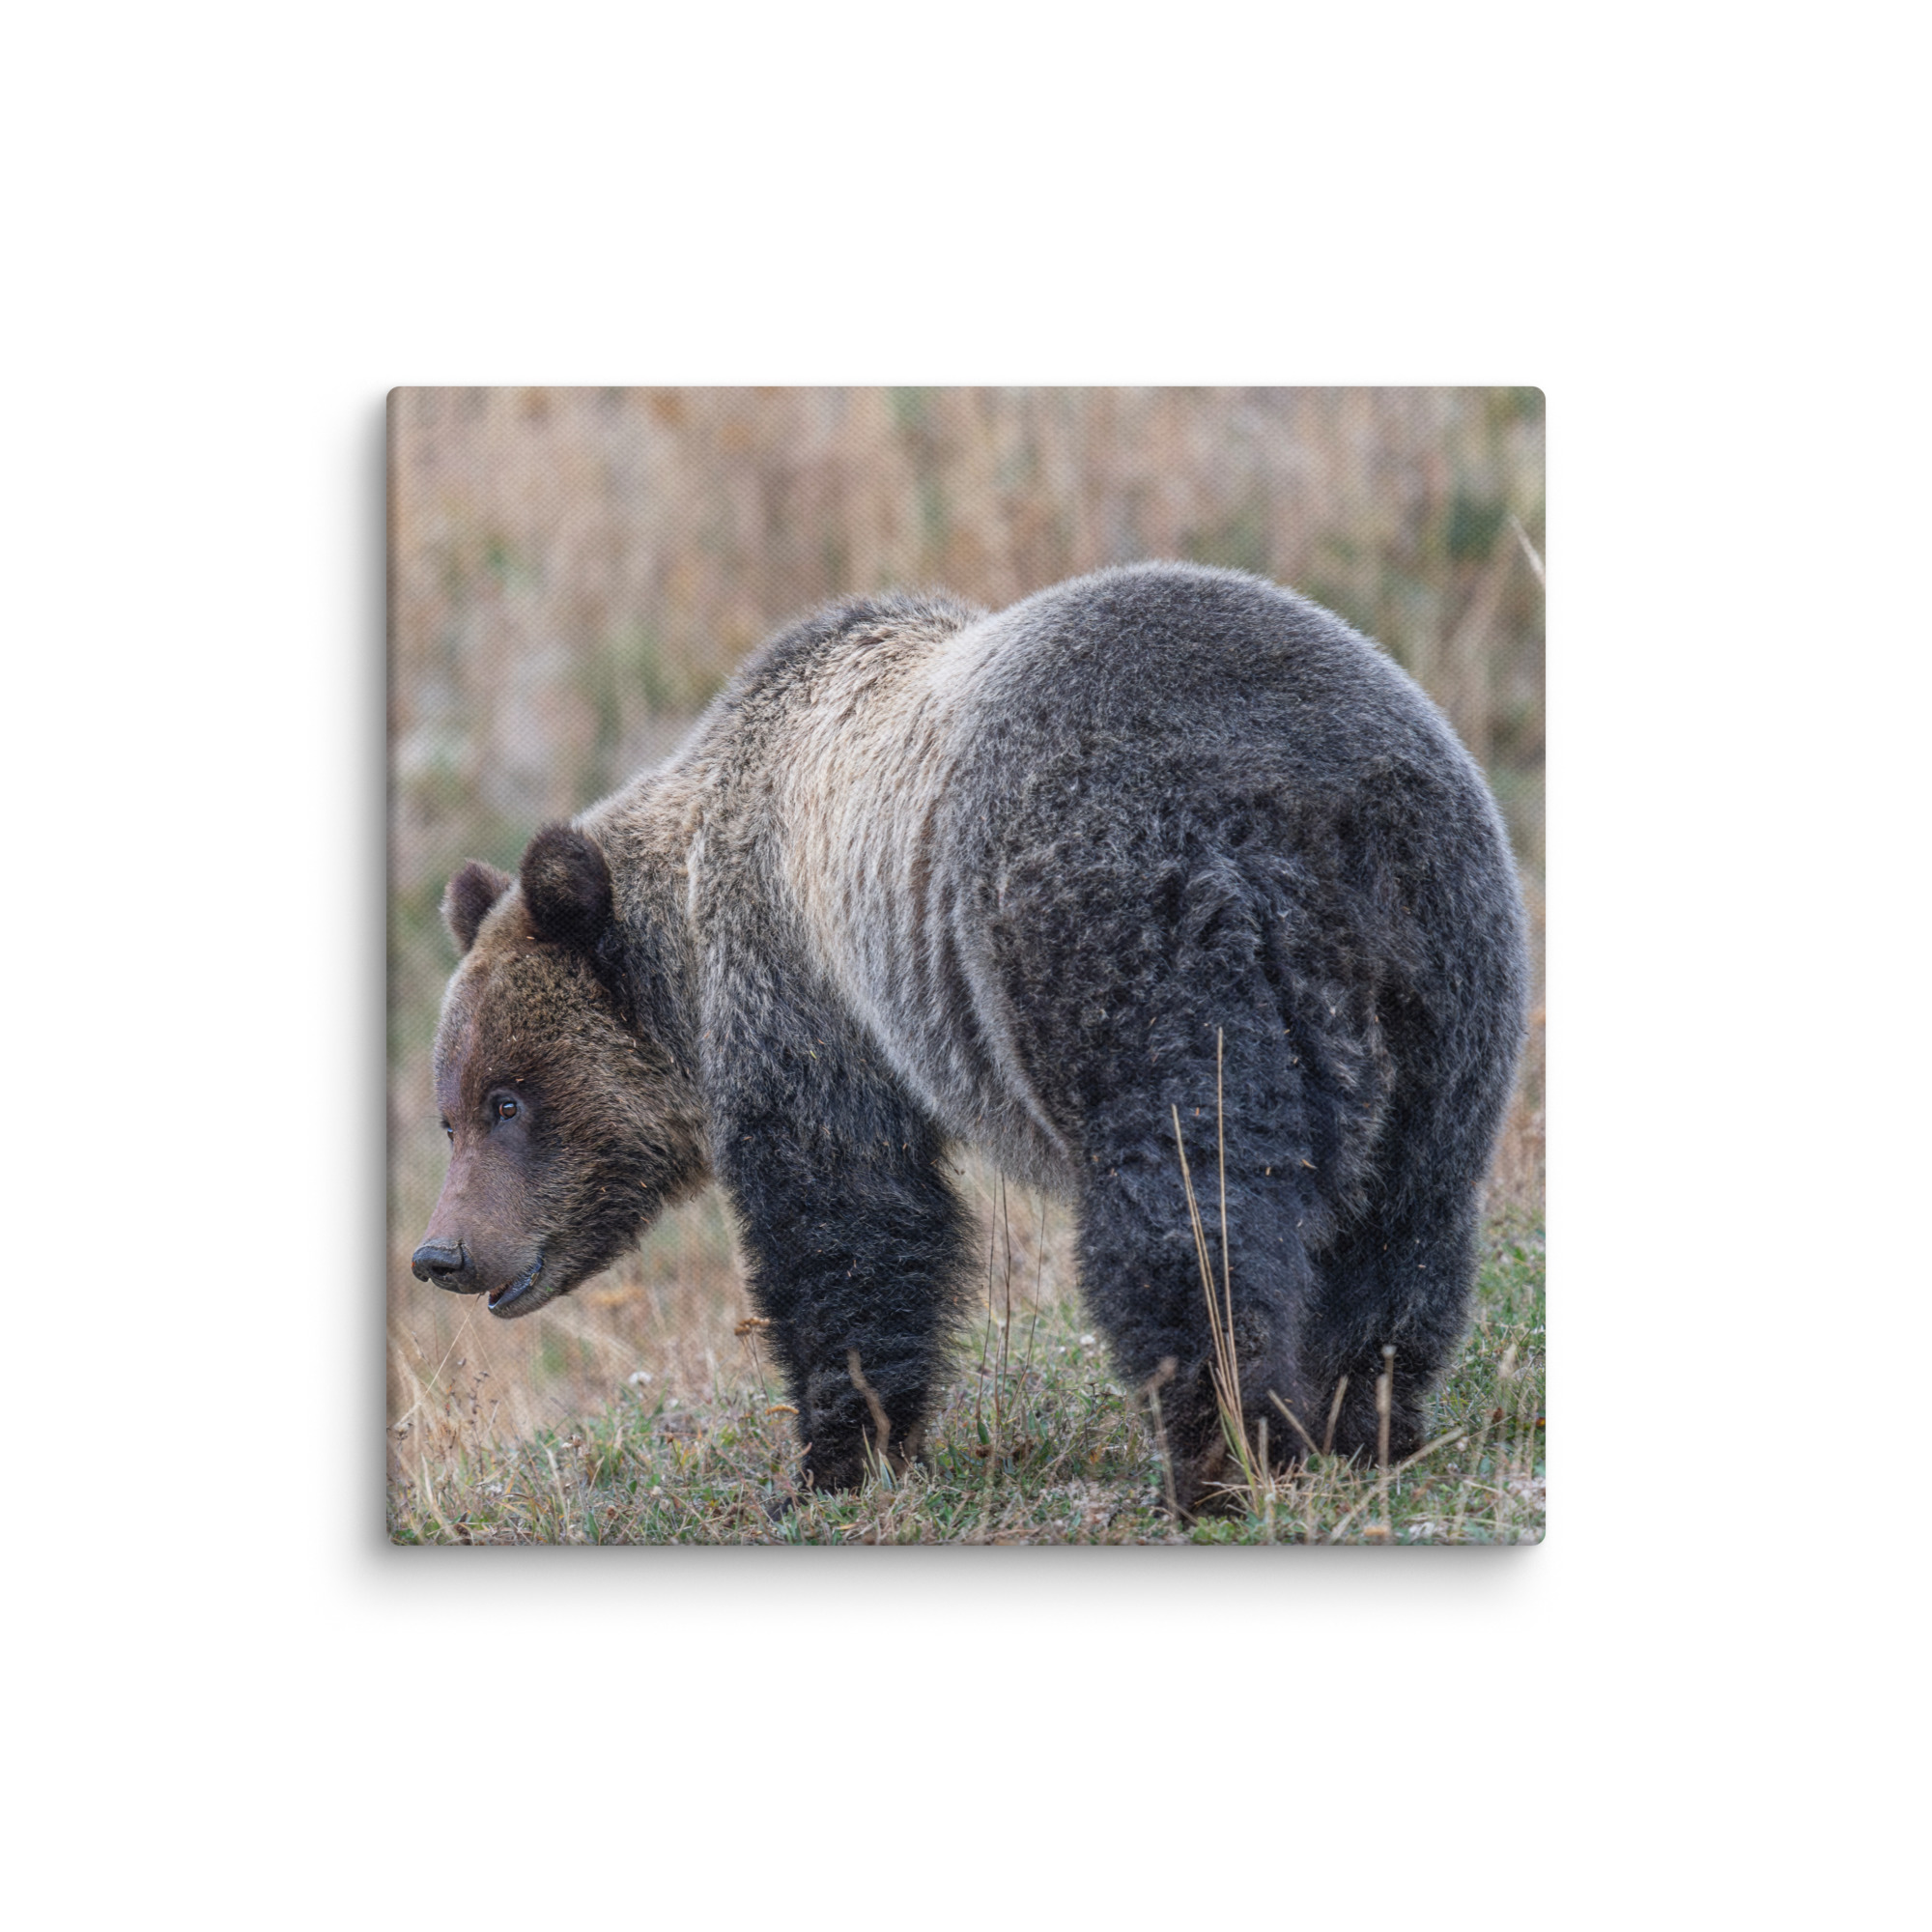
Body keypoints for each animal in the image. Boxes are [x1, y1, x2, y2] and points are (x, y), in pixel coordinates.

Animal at [411, 561, 1528, 1511]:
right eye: (449, 1113)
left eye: (507, 1100)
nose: (442, 1252)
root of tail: (1313, 806)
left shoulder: (807, 990)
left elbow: (846, 1218)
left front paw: (833, 1458)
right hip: (1446, 970)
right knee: (1406, 1219)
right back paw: (1362, 1425)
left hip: (1132, 936)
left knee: (1190, 1209)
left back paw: (1218, 1457)